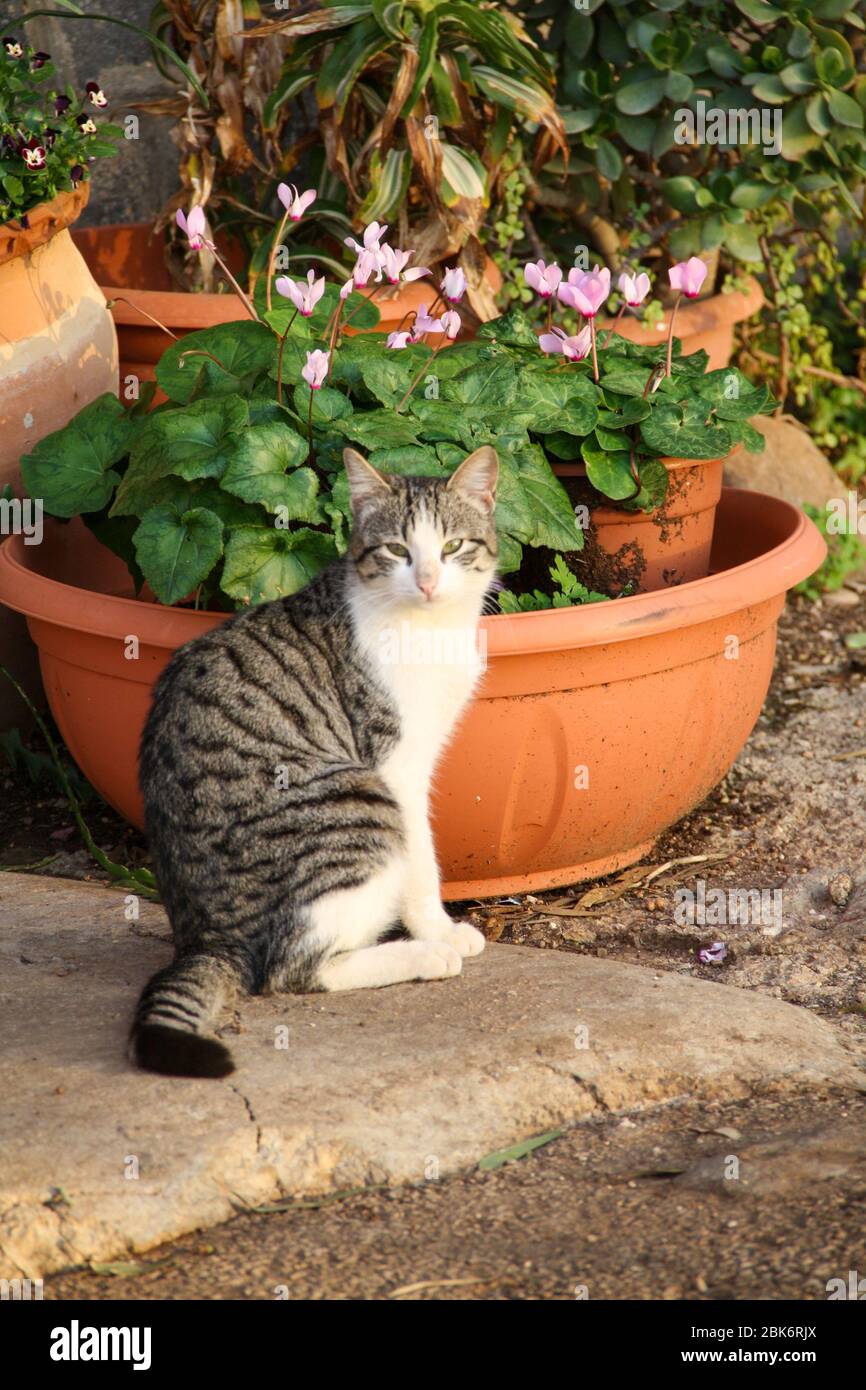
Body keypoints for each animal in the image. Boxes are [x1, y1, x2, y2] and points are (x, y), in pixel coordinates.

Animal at [125, 444, 497, 1073]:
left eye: (451, 547)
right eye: (397, 550)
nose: (426, 581)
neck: (429, 628)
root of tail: (206, 938)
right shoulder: (396, 765)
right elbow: (423, 863)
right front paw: (441, 931)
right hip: (360, 800)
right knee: (292, 970)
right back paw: (422, 956)